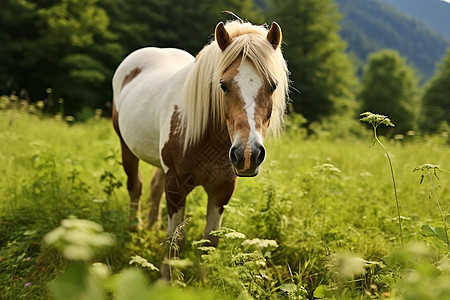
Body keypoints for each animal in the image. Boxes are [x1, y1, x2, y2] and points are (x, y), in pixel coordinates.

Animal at [112, 19, 288, 278]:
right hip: (127, 148)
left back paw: (151, 227)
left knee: (153, 188)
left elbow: (209, 241)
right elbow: (175, 239)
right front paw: (168, 279)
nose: (248, 155)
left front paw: (204, 281)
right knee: (136, 186)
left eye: (273, 86)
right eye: (223, 85)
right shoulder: (176, 185)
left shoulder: (222, 189)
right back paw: (134, 229)